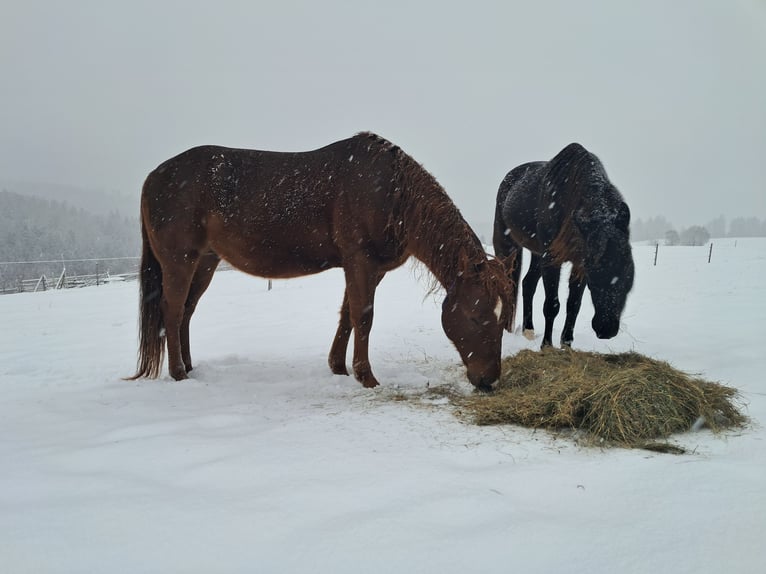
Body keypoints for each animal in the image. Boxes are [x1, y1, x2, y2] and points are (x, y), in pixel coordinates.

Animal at [129, 132, 512, 391]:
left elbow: (347, 315)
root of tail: (152, 176)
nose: (488, 380)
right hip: (179, 261)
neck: (392, 195)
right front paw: (366, 377)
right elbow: (363, 316)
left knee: (187, 311)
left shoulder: (368, 269)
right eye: (475, 316)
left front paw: (338, 368)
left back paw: (190, 366)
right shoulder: (360, 261)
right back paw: (179, 373)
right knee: (172, 310)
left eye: (501, 317)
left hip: (205, 263)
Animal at [492, 142, 634, 348]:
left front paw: (566, 344)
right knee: (509, 285)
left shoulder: (578, 263)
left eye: (627, 267)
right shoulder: (552, 260)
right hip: (507, 246)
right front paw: (547, 345)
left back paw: (528, 331)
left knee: (528, 284)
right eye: (594, 274)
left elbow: (573, 304)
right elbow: (552, 305)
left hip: (537, 254)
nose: (605, 329)